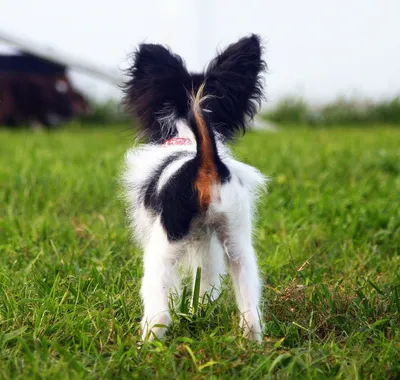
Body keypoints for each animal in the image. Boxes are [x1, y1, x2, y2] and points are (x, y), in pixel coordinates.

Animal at [122, 34, 266, 340]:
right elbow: (207, 282)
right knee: (251, 312)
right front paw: (199, 311)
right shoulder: (205, 242)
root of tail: (205, 161)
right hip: (238, 243)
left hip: (161, 249)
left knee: (159, 312)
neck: (187, 138)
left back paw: (147, 343)